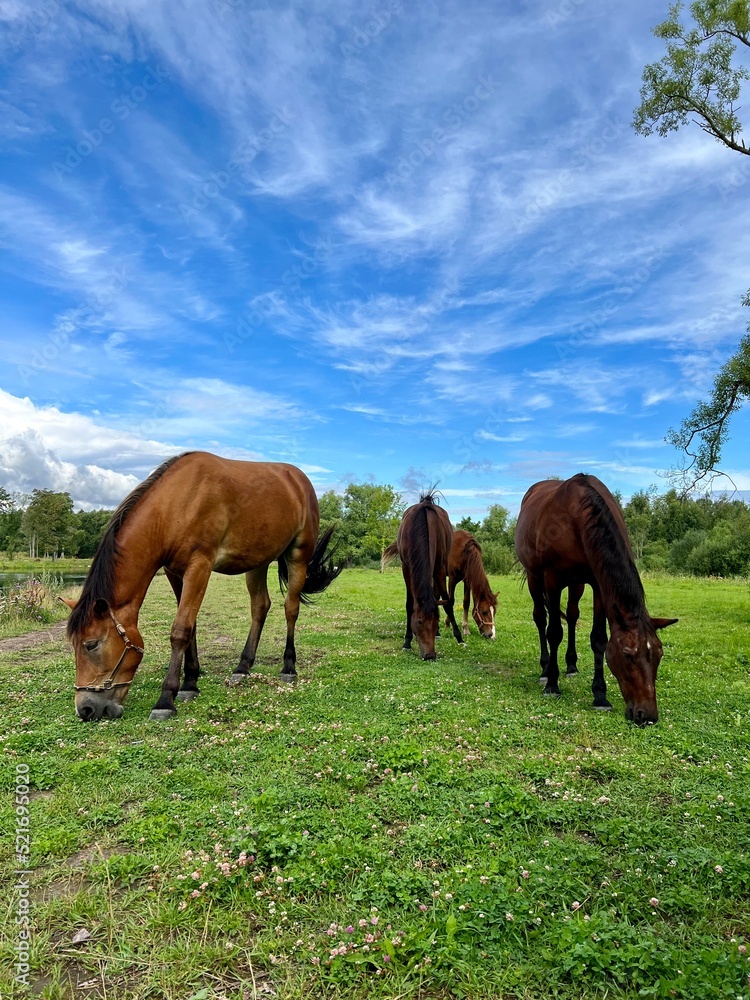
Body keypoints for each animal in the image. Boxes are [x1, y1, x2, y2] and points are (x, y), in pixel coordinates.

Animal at [64, 452, 340, 720]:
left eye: (91, 644)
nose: (85, 709)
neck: (175, 505)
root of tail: (299, 480)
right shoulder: (175, 573)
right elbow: (191, 627)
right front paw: (190, 683)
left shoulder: (199, 567)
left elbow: (180, 630)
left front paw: (166, 700)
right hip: (258, 562)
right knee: (260, 607)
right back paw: (243, 667)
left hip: (298, 556)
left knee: (290, 608)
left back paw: (288, 666)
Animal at [390, 490, 468, 656]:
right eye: (419, 622)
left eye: (436, 620)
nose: (430, 655)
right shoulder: (406, 567)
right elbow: (409, 604)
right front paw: (407, 641)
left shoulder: (439, 568)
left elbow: (447, 602)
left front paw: (459, 638)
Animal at [516, 476, 680, 728]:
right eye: (628, 655)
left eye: (659, 654)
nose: (647, 716)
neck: (576, 516)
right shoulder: (552, 581)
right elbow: (554, 632)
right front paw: (552, 684)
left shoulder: (597, 584)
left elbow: (599, 639)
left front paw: (600, 695)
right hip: (535, 578)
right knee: (541, 619)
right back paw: (545, 669)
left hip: (576, 584)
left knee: (572, 616)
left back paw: (571, 665)